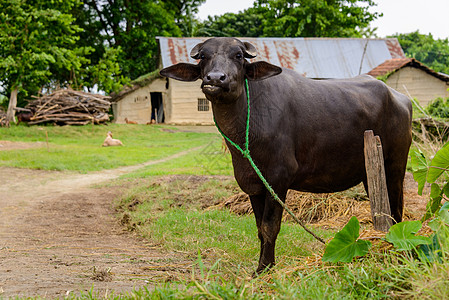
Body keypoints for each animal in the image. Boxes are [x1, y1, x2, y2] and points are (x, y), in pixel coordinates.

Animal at [159, 37, 412, 272]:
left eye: (238, 55)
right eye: (203, 56)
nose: (215, 79)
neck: (247, 127)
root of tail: (401, 99)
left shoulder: (278, 180)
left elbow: (271, 227)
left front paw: (263, 268)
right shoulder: (254, 184)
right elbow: (260, 228)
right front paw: (265, 265)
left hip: (395, 166)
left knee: (397, 210)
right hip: (370, 172)